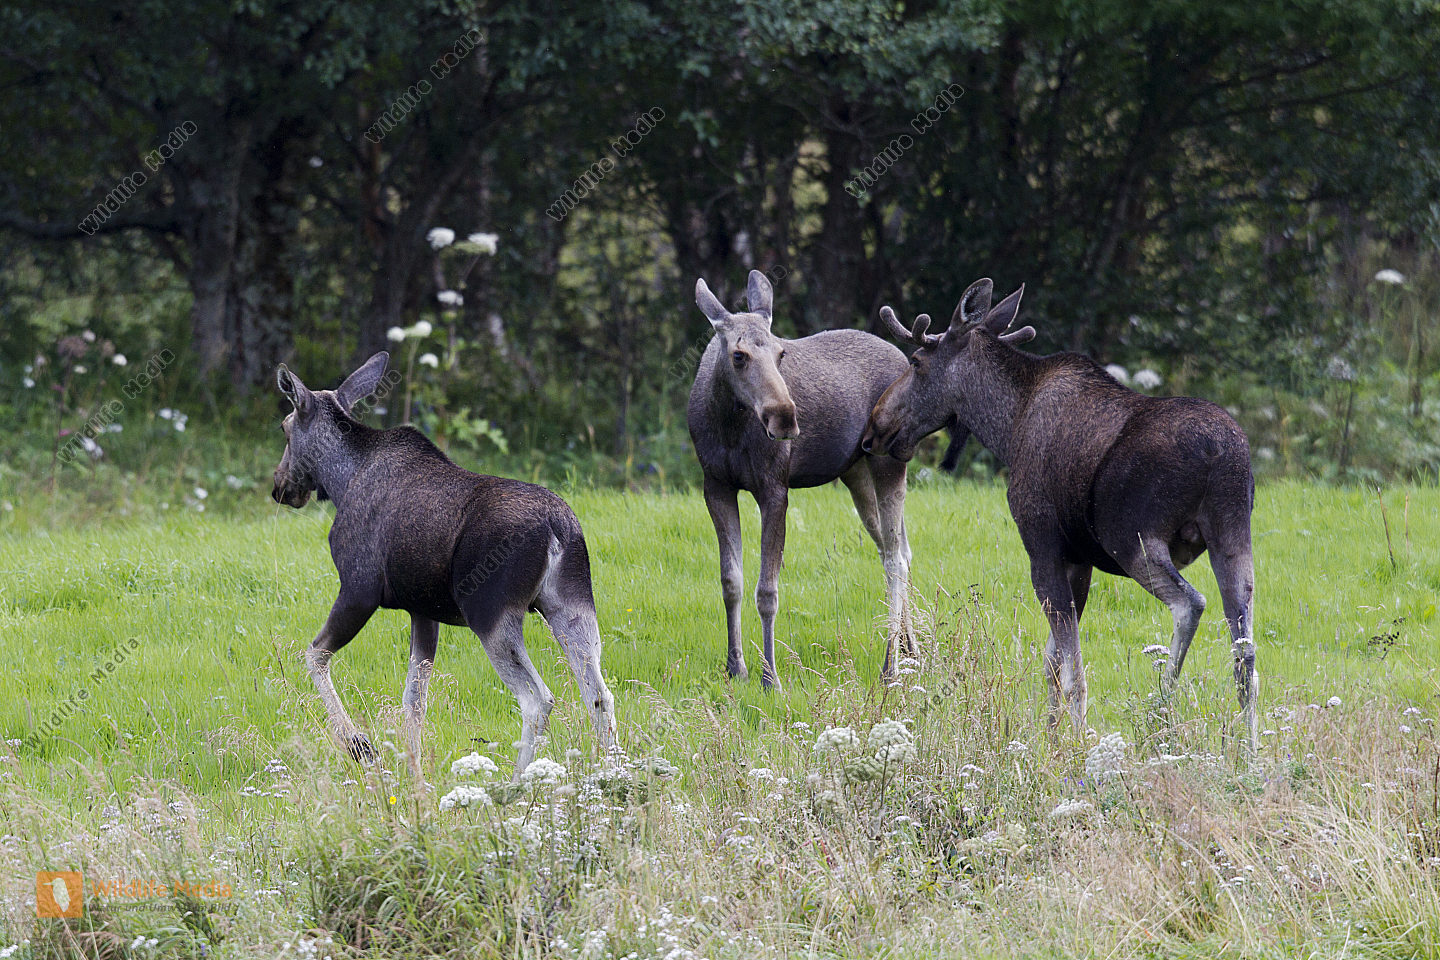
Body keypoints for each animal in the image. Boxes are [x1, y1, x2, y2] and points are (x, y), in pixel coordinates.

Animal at [270, 351, 618, 780]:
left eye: (285, 428)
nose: (279, 485)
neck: (341, 480)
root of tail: (557, 527)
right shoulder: (422, 611)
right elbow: (413, 701)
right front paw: (416, 778)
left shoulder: (358, 589)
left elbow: (314, 655)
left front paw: (360, 746)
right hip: (571, 604)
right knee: (599, 694)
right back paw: (614, 775)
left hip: (490, 612)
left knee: (539, 699)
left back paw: (516, 784)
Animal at [687, 269, 938, 689]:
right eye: (739, 355)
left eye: (781, 353)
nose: (785, 417)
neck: (727, 424)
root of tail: (905, 357)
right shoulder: (715, 486)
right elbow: (731, 582)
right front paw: (735, 667)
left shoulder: (775, 488)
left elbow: (767, 590)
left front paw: (770, 676)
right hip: (856, 472)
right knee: (899, 549)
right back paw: (911, 649)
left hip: (889, 463)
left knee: (894, 560)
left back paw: (890, 665)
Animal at [862, 278, 1259, 750]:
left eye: (917, 361)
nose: (874, 427)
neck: (1005, 426)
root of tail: (1222, 454)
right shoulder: (1078, 560)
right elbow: (1052, 660)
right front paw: (1050, 738)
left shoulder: (1043, 546)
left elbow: (1071, 670)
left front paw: (1074, 741)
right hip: (1232, 538)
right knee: (1246, 655)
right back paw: (1251, 749)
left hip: (1133, 538)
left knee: (1190, 604)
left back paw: (1157, 714)